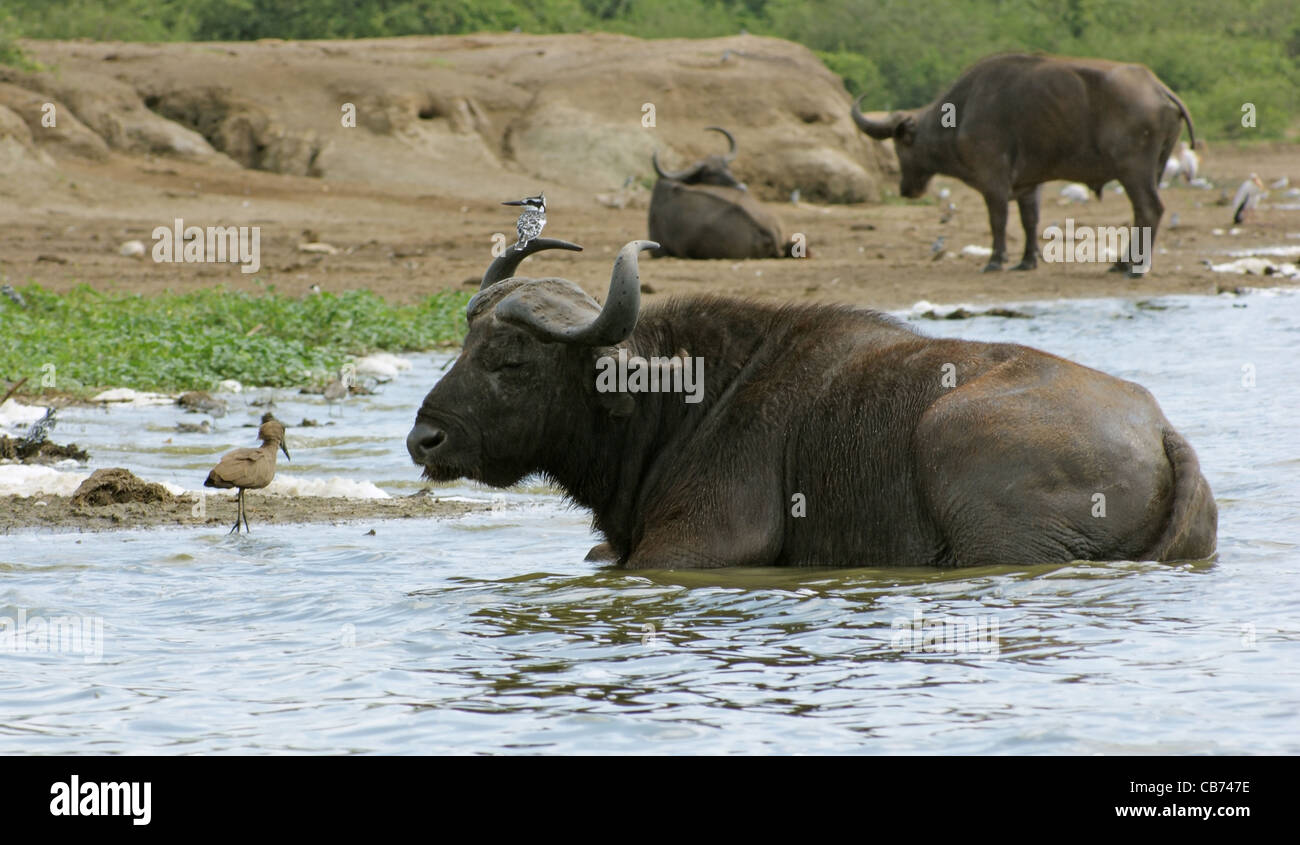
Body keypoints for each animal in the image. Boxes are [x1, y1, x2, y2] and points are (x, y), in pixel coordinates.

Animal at [400, 236, 1211, 566]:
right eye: (462, 345)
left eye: (512, 360)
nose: (424, 439)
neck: (679, 402)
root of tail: (1161, 431)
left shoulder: (697, 547)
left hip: (963, 459)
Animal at [852, 51, 1196, 273]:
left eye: (899, 145)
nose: (906, 189)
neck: (961, 112)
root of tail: (1157, 87)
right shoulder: (1030, 184)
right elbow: (1030, 220)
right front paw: (1027, 260)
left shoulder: (993, 180)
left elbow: (998, 220)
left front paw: (995, 260)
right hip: (1155, 169)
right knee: (1140, 212)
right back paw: (1123, 261)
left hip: (1133, 170)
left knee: (1150, 209)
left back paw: (1135, 266)